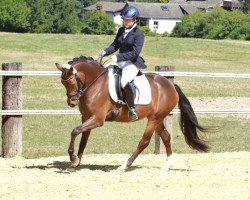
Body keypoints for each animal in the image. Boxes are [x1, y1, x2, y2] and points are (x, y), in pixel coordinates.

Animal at [55, 55, 210, 171]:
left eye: (71, 82)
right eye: (63, 83)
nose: (72, 102)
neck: (95, 84)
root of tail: (170, 84)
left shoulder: (97, 119)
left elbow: (74, 131)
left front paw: (73, 159)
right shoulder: (86, 117)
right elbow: (83, 140)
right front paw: (75, 163)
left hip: (154, 119)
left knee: (144, 142)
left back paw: (125, 165)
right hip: (157, 118)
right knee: (166, 137)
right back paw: (167, 165)